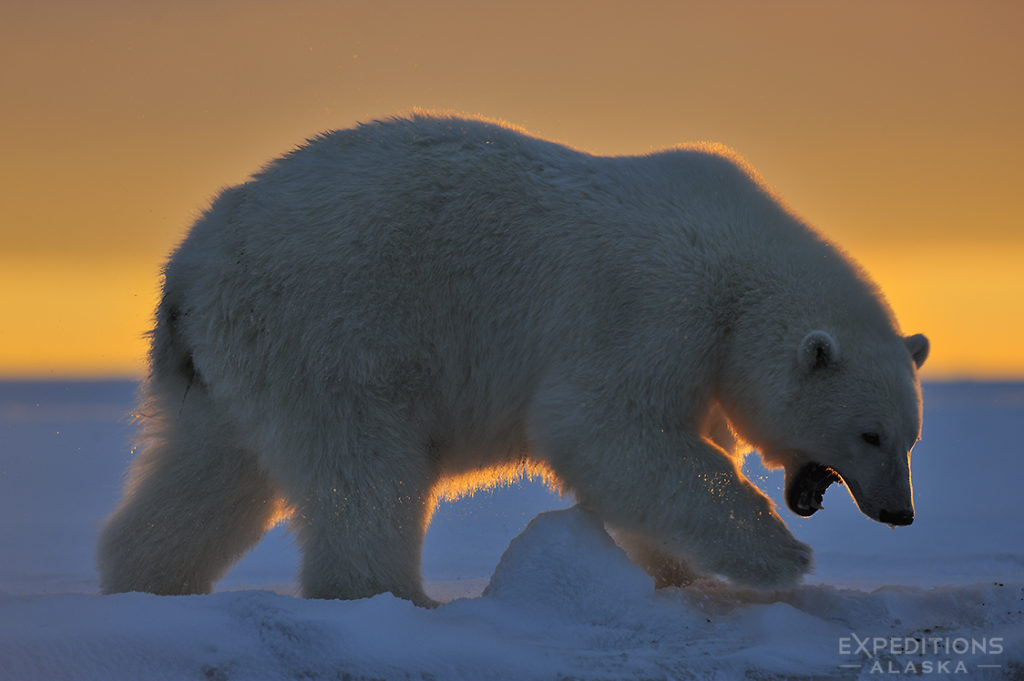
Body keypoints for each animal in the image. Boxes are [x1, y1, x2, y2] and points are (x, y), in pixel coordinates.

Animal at [96, 112, 929, 606]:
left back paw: (146, 583)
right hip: (327, 334)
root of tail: (189, 272)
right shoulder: (653, 306)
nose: (900, 512)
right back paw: (395, 597)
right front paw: (783, 555)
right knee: (362, 473)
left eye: (911, 438)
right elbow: (603, 428)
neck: (740, 265)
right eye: (871, 434)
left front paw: (673, 571)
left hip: (228, 369)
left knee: (209, 475)